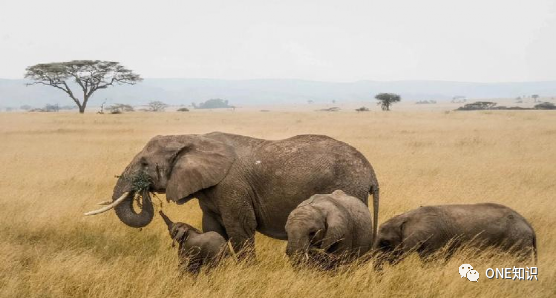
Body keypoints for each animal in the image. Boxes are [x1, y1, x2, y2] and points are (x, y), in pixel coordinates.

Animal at [87, 132, 380, 258]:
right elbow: (212, 229)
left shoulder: (232, 187)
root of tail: (370, 172)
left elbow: (240, 229)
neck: (192, 138)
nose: (143, 193)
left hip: (349, 188)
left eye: (145, 163)